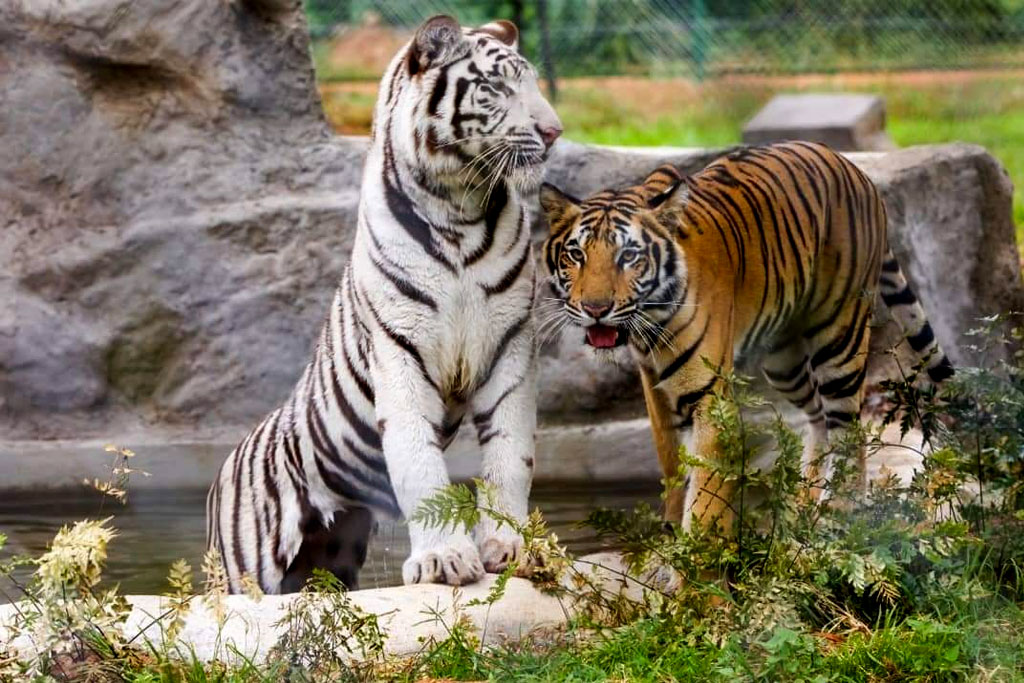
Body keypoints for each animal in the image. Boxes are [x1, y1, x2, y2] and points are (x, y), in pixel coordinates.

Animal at [207, 15, 562, 594]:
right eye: (496, 87)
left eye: (530, 82)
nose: (554, 132)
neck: (460, 210)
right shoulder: (400, 349)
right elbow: (419, 464)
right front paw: (444, 560)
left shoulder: (510, 345)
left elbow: (510, 457)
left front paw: (511, 549)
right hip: (245, 572)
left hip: (333, 551)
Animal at [540, 141, 953, 532]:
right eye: (576, 255)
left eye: (628, 256)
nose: (595, 308)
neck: (651, 322)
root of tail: (859, 173)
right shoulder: (655, 387)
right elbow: (672, 465)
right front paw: (669, 535)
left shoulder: (708, 394)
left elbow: (706, 491)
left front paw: (697, 554)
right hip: (784, 362)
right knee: (818, 417)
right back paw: (803, 505)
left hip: (840, 338)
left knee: (849, 425)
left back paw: (839, 514)